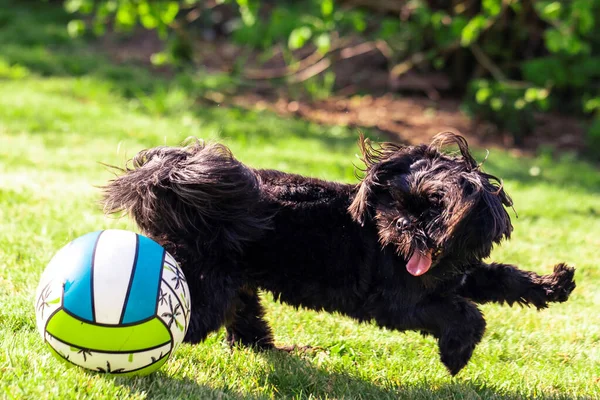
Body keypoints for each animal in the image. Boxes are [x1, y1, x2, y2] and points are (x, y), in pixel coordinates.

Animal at [103, 134, 576, 376]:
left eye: (434, 209)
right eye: (397, 203)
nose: (404, 226)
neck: (439, 262)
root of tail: (168, 182)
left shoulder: (459, 274)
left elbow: (503, 279)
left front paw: (555, 284)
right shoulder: (396, 303)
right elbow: (465, 312)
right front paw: (456, 353)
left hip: (233, 280)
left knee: (244, 317)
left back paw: (272, 349)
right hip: (205, 286)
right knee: (192, 322)